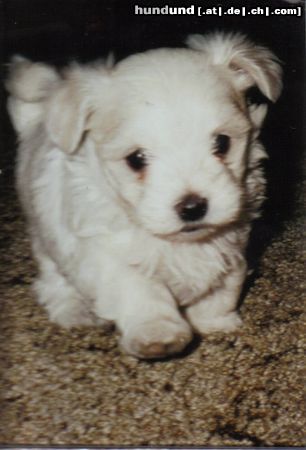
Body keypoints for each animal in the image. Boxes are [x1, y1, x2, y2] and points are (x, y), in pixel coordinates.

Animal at [5, 33, 282, 358]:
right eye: (136, 159)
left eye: (222, 143)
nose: (193, 207)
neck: (179, 244)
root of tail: (34, 120)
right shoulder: (106, 254)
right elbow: (141, 290)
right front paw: (158, 332)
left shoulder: (230, 248)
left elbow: (222, 289)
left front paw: (215, 322)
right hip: (45, 236)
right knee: (53, 280)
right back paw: (75, 312)